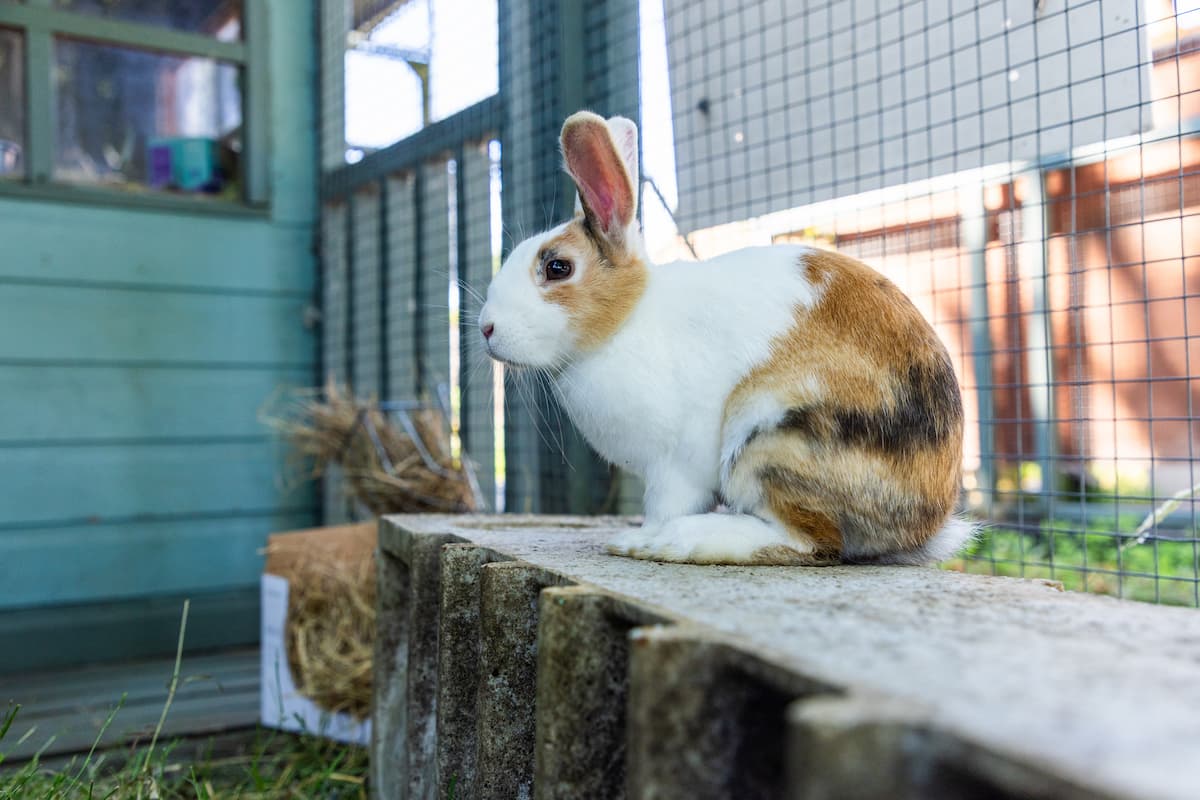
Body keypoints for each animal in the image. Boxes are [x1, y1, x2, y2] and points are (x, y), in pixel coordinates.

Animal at [477, 110, 971, 566]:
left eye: (557, 268)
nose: (486, 328)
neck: (627, 321)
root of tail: (924, 523)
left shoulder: (675, 466)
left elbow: (664, 504)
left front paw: (640, 537)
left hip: (770, 435)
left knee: (813, 541)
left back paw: (678, 540)